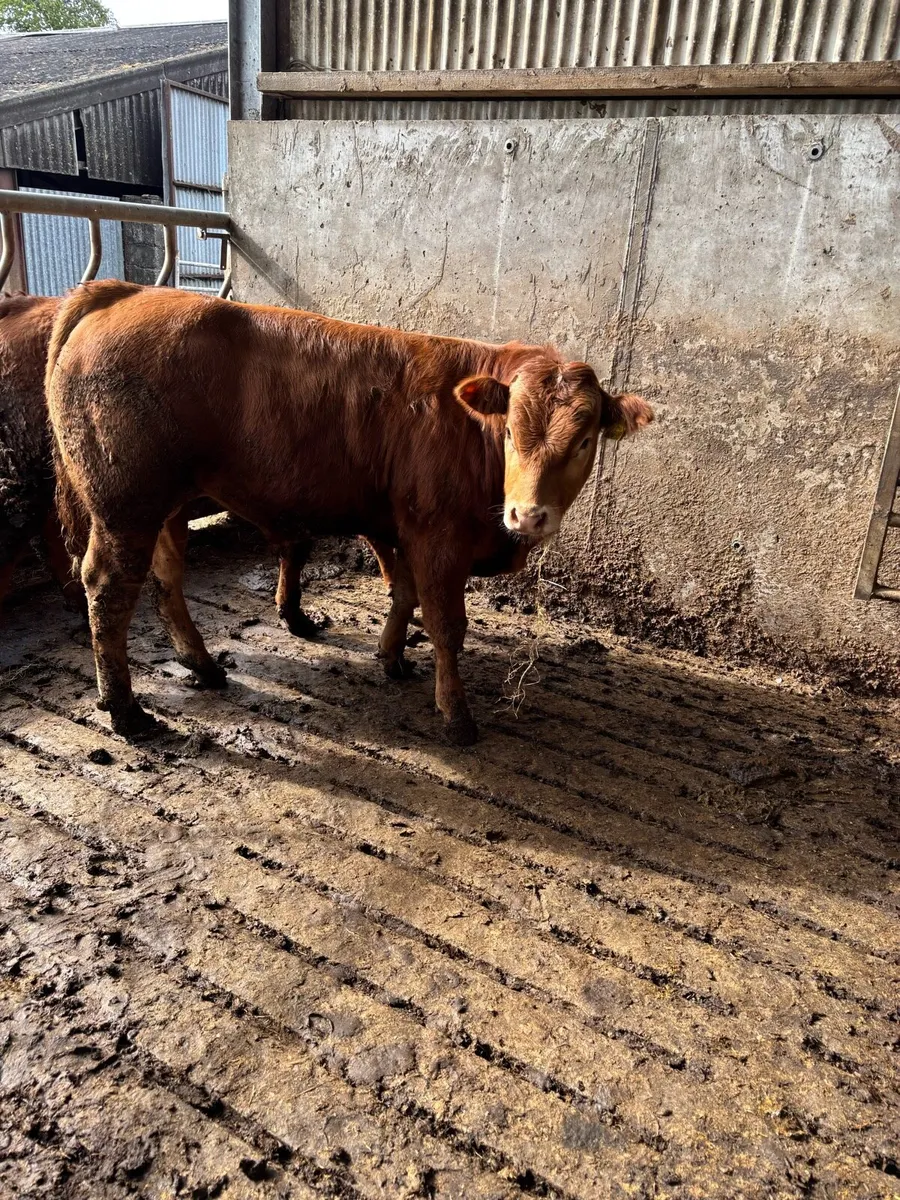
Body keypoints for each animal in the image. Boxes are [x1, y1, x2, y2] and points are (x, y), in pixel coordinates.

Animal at [47, 281, 653, 744]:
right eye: (508, 432)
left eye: (584, 441)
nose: (527, 517)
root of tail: (125, 292)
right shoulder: (438, 538)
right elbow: (445, 625)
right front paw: (455, 716)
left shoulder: (400, 527)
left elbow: (403, 595)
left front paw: (392, 658)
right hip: (125, 507)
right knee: (109, 589)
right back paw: (126, 711)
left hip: (165, 506)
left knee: (166, 581)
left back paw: (203, 666)